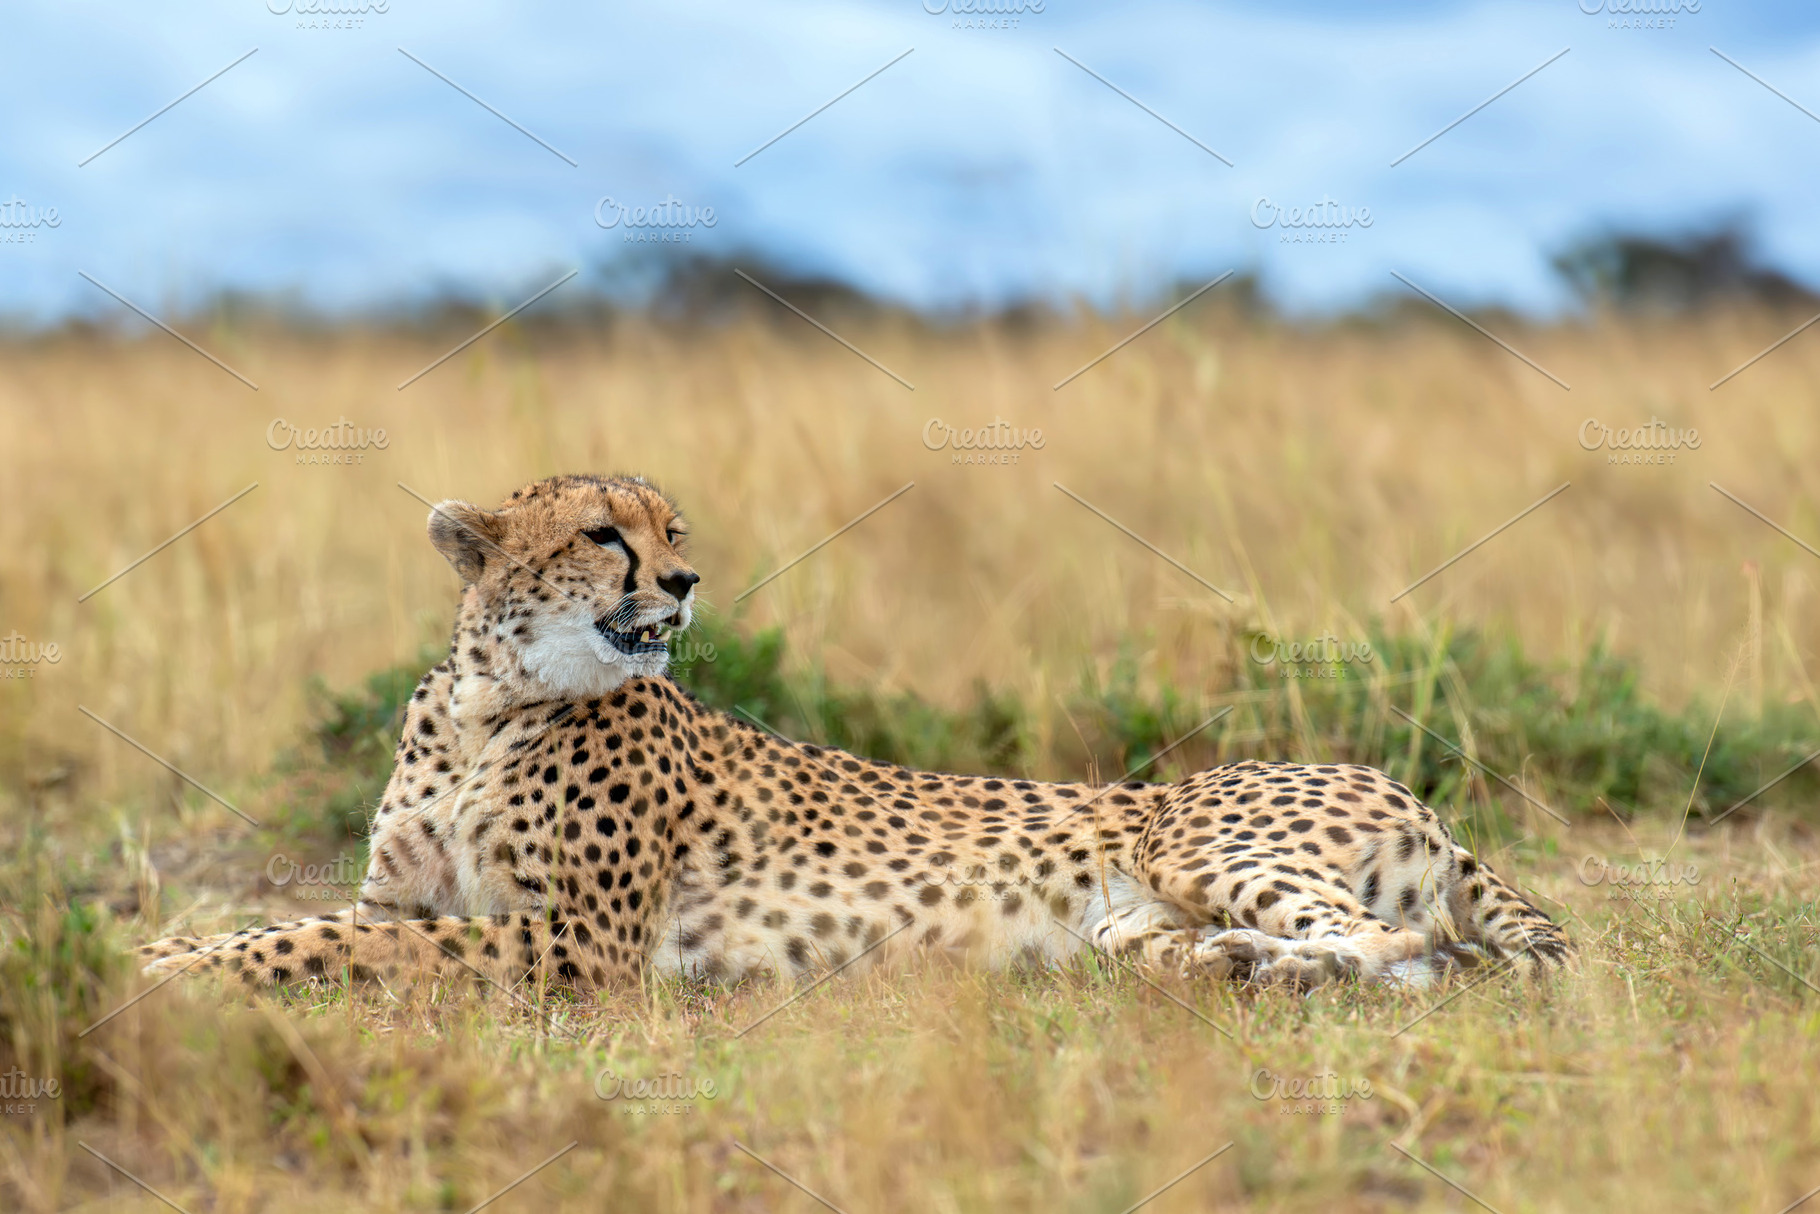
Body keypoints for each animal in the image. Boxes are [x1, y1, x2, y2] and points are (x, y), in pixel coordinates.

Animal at [138, 473, 1571, 995]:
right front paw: (164, 945)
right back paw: (1222, 965)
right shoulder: (411, 895)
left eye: (673, 530)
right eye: (605, 532)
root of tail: (1407, 788)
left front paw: (174, 971)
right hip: (1133, 913)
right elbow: (298, 921)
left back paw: (1272, 968)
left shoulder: (577, 942)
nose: (682, 583)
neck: (492, 702)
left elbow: (323, 943)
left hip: (1213, 843)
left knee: (1403, 945)